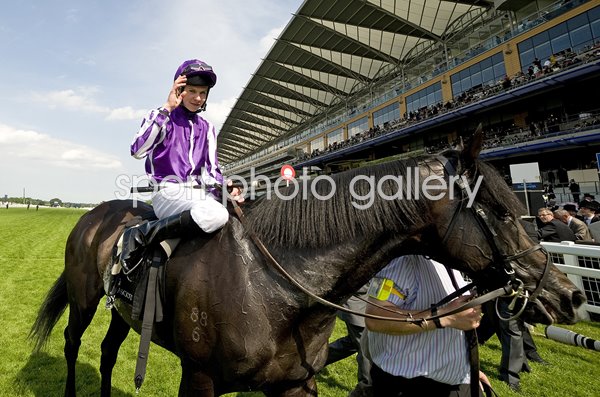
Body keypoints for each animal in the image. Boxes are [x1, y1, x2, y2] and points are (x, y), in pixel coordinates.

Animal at [30, 131, 584, 394]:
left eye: (518, 208)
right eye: (501, 213)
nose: (569, 294)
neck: (273, 287)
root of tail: (96, 214)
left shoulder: (296, 384)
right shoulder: (201, 378)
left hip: (122, 312)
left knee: (106, 351)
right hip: (83, 299)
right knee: (73, 342)